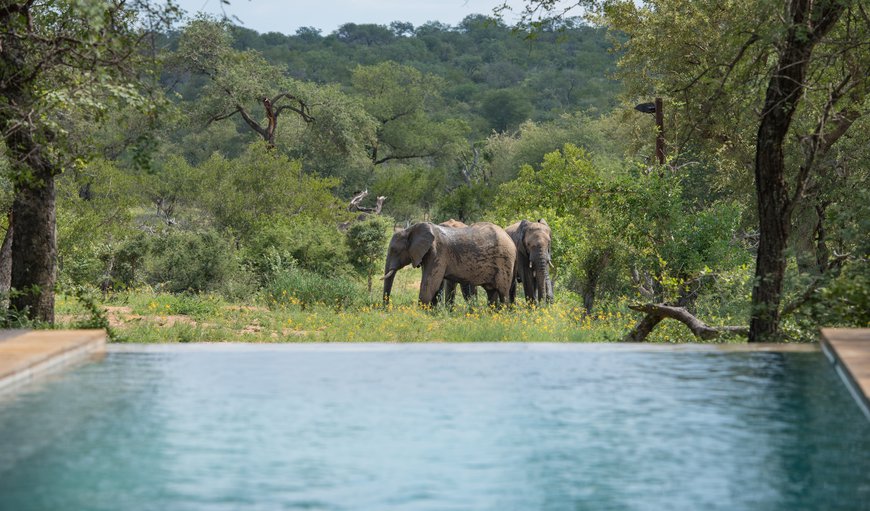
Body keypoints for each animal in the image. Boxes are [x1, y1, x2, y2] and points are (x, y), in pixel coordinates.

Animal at [382, 222, 516, 306]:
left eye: (394, 250)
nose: (385, 308)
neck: (410, 230)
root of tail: (510, 239)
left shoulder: (438, 253)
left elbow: (429, 284)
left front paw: (420, 314)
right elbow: (433, 285)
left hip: (504, 262)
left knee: (502, 292)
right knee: (491, 292)